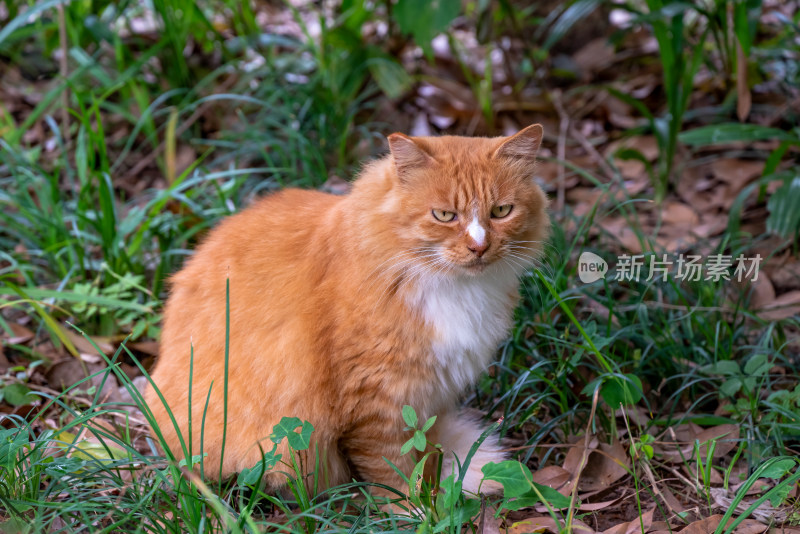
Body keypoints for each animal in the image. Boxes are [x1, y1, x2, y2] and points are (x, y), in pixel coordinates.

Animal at [145, 125, 552, 498]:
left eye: (501, 211)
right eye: (444, 215)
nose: (479, 247)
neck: (453, 285)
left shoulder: (429, 391)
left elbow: (426, 447)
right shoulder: (375, 398)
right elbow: (391, 467)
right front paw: (412, 511)